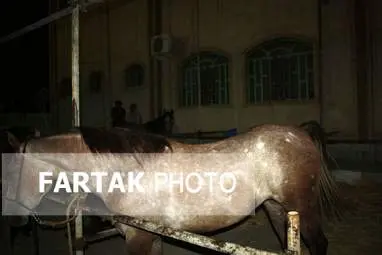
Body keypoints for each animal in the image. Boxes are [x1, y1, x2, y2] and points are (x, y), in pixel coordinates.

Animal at [2, 124, 344, 255]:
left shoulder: (138, 237)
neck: (125, 170)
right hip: (277, 209)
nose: (13, 222)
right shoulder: (152, 235)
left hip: (302, 208)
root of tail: (300, 133)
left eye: (10, 172)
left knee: (319, 243)